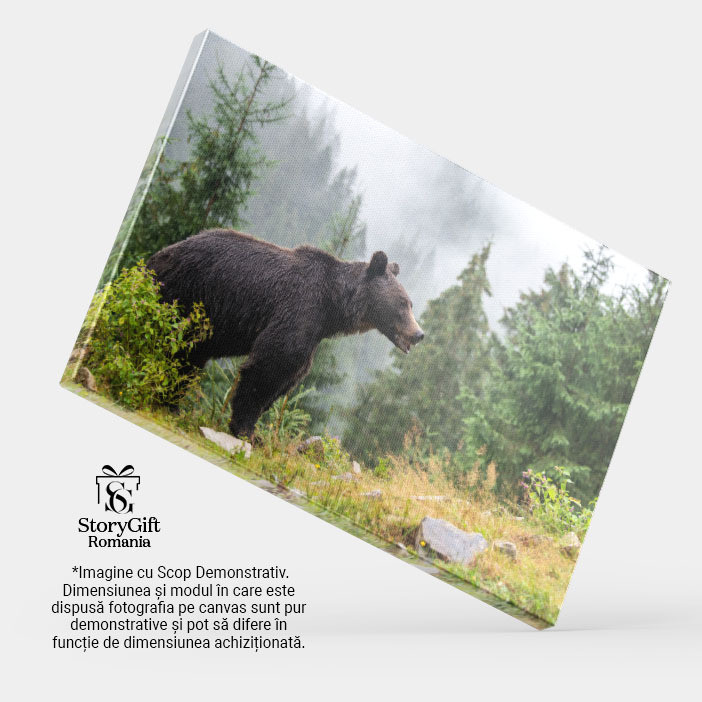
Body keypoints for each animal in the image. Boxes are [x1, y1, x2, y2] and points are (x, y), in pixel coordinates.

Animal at [146, 229, 424, 439]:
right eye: (402, 303)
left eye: (410, 304)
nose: (419, 334)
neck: (333, 307)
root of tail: (162, 253)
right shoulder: (298, 308)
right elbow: (272, 364)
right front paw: (248, 432)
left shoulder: (314, 331)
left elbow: (290, 375)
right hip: (188, 291)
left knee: (192, 353)